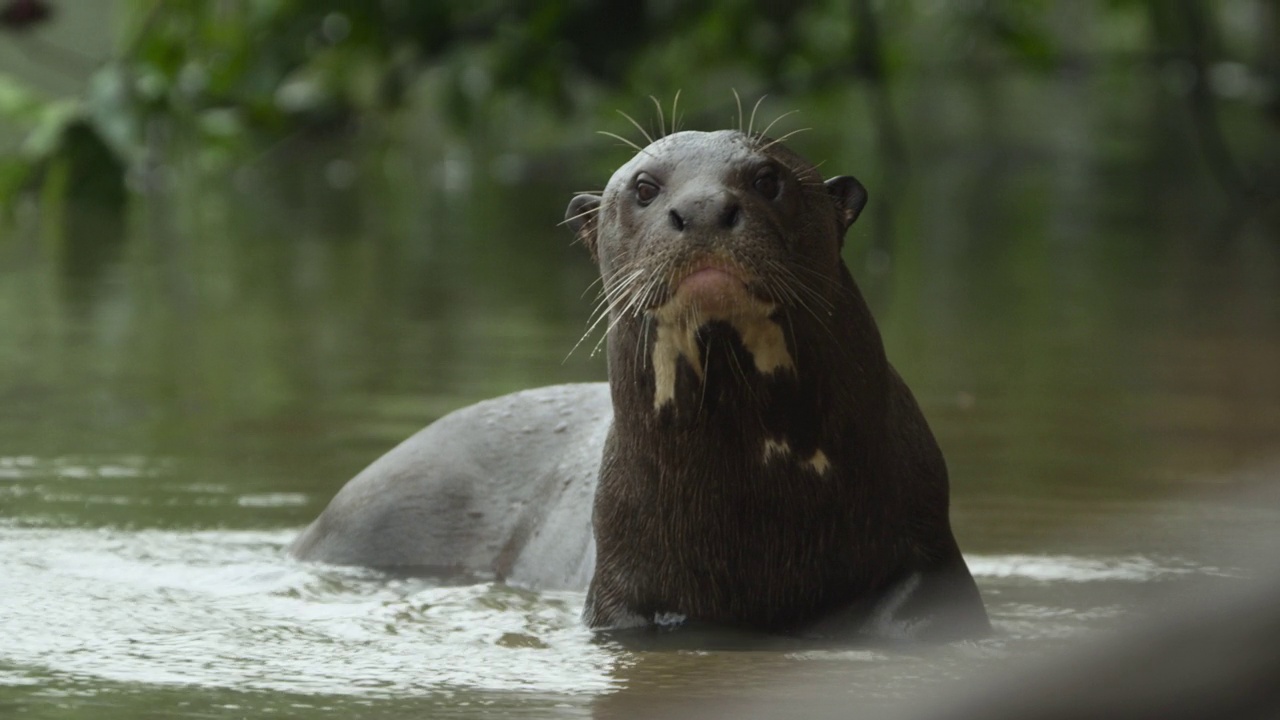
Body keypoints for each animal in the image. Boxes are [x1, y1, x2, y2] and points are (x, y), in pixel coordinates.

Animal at [290, 126, 988, 635]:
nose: (703, 208)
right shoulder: (620, 589)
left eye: (769, 179)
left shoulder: (929, 553)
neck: (758, 512)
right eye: (646, 187)